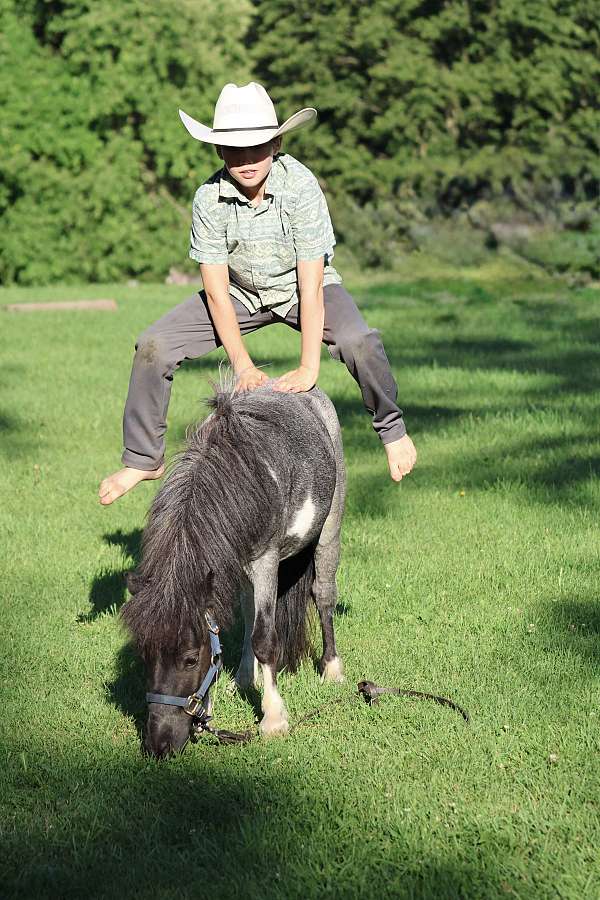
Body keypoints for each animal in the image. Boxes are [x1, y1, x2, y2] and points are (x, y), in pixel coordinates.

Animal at [121, 383, 346, 758]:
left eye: (189, 659)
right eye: (145, 655)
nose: (160, 745)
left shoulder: (266, 559)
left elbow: (265, 639)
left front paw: (274, 720)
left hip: (329, 529)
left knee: (323, 596)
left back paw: (332, 671)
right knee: (249, 613)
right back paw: (243, 678)